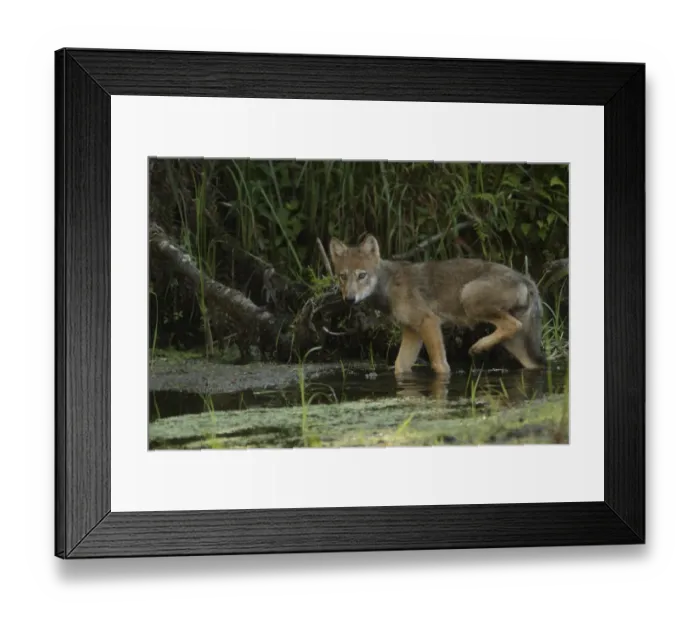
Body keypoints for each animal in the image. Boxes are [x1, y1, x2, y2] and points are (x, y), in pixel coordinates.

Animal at [328, 234, 546, 375]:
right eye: (343, 276)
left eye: (362, 275)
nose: (349, 299)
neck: (389, 285)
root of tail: (526, 279)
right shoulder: (412, 331)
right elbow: (399, 366)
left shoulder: (429, 322)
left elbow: (439, 365)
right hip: (517, 345)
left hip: (469, 298)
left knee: (512, 325)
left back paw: (477, 347)